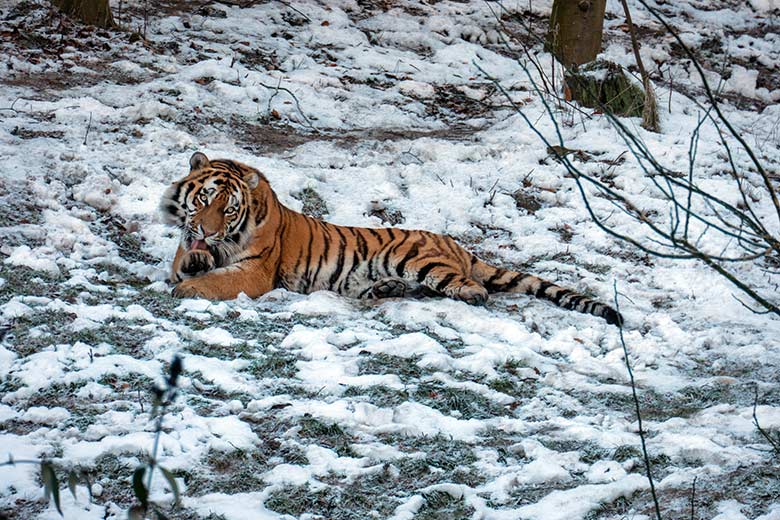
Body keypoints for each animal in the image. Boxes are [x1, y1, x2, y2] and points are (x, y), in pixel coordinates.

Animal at [158, 151, 620, 324]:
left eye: (229, 208)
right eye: (204, 198)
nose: (207, 230)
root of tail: (458, 245)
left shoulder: (254, 271)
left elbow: (217, 281)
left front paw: (191, 289)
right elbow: (183, 262)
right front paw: (194, 260)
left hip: (418, 259)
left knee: (471, 288)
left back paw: (469, 295)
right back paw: (383, 291)